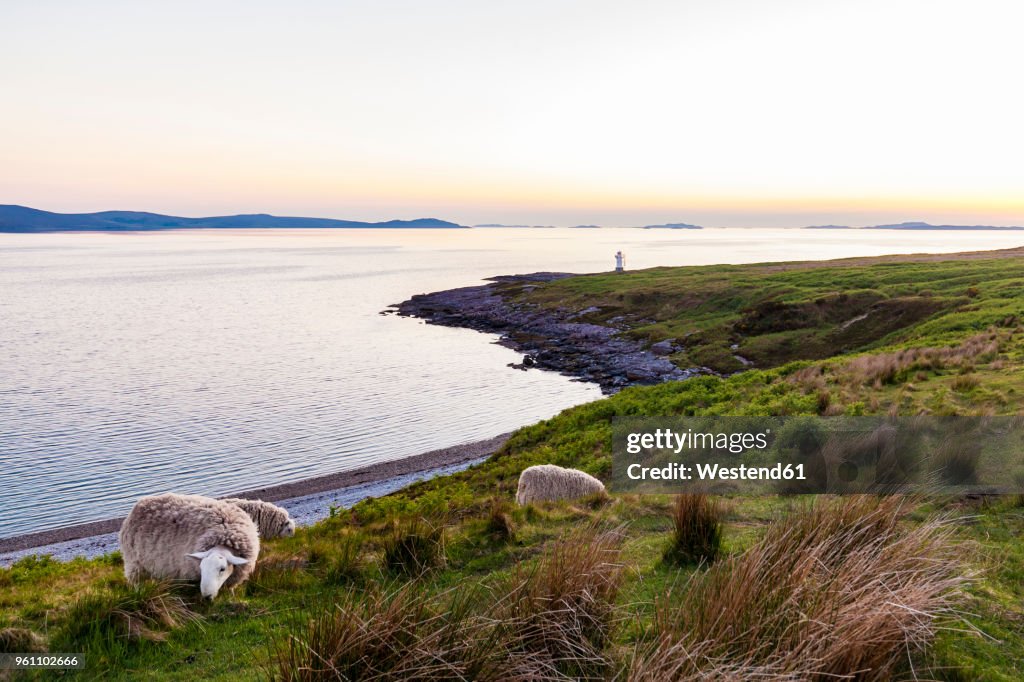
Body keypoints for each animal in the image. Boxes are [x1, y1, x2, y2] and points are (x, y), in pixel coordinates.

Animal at [119, 493, 260, 599]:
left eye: (222, 569)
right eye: (201, 568)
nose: (206, 596)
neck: (224, 537)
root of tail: (140, 503)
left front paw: (231, 596)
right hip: (134, 564)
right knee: (137, 583)